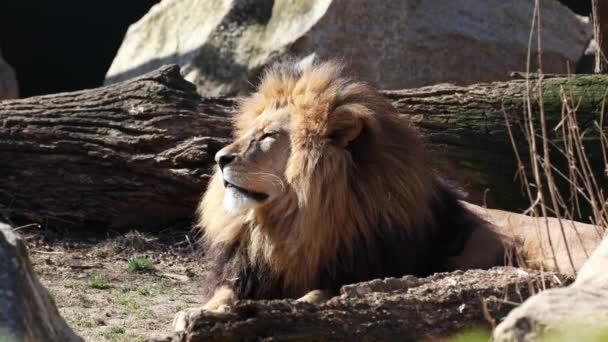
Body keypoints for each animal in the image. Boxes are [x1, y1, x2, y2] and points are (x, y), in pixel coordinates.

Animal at [171, 58, 604, 332]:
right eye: (247, 133)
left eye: (268, 137)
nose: (219, 159)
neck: (292, 223)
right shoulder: (246, 269)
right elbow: (222, 293)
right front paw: (195, 314)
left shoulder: (364, 270)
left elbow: (317, 294)